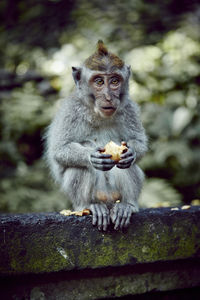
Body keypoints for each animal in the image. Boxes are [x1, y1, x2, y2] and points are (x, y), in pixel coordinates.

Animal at [46, 41, 148, 231]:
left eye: (115, 81)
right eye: (99, 81)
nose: (108, 97)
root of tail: (108, 203)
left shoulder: (129, 108)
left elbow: (139, 143)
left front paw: (131, 153)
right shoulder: (71, 110)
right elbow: (60, 149)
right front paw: (91, 157)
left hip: (115, 196)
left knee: (126, 166)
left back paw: (127, 206)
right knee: (79, 168)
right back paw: (89, 207)